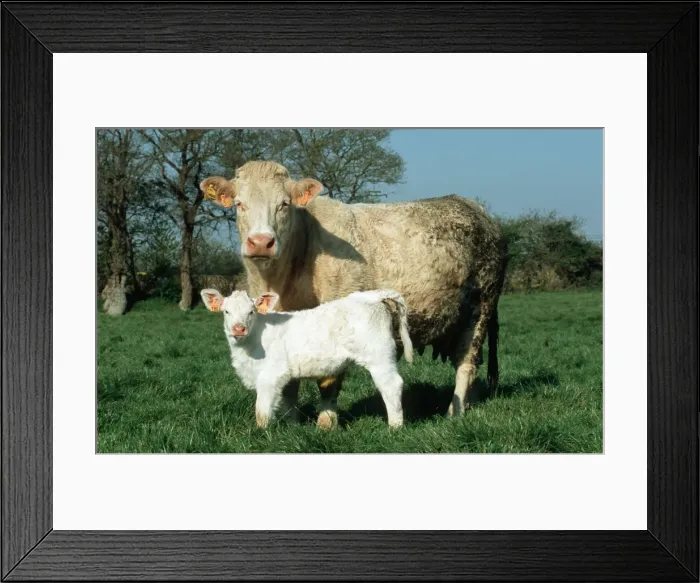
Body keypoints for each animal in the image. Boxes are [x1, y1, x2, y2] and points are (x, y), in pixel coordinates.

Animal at [201, 160, 508, 429]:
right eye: (239, 204)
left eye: (284, 204)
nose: (261, 242)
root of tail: (472, 206)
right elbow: (289, 385)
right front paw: (292, 423)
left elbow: (328, 380)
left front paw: (326, 423)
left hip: (481, 307)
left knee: (466, 364)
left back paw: (453, 413)